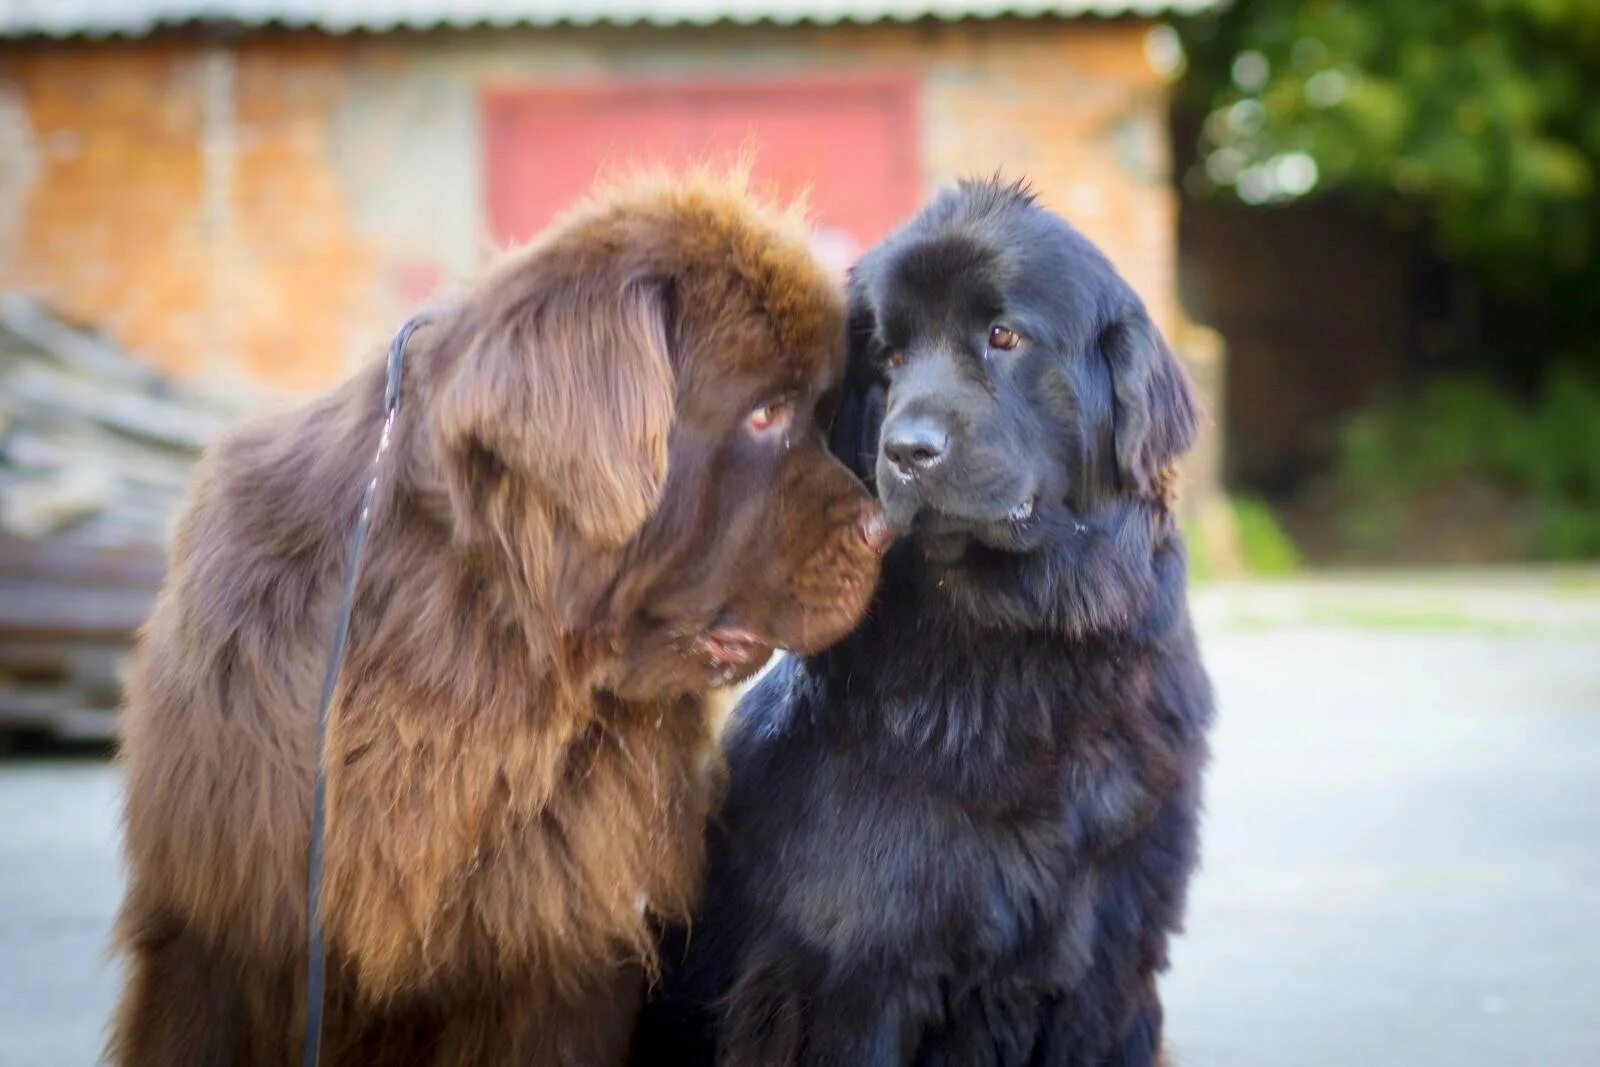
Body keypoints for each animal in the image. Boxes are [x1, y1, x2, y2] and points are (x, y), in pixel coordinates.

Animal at [112, 171, 889, 1062]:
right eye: (765, 414)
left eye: (822, 411)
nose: (883, 528)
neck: (483, 646)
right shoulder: (217, 931)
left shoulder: (558, 960)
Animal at [636, 179, 1209, 1062]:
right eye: (889, 358)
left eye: (1003, 336)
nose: (907, 450)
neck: (1018, 648)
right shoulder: (848, 978)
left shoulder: (1110, 968)